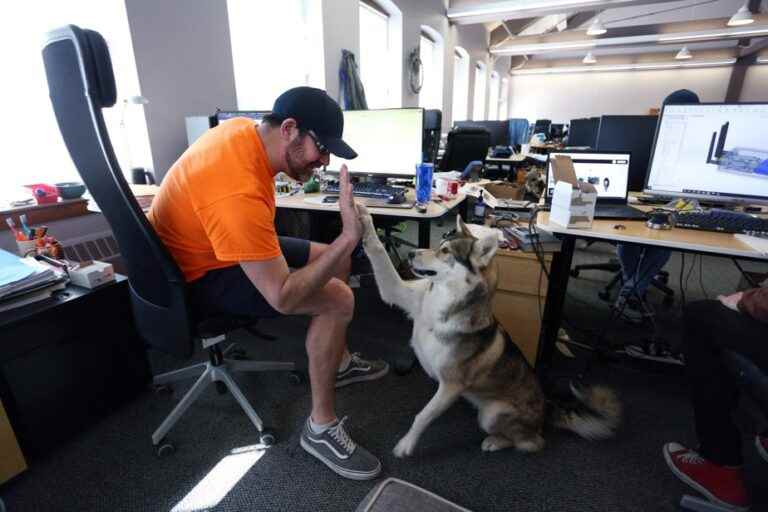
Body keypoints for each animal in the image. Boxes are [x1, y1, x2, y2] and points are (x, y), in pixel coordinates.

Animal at [362, 206, 624, 458]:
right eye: (439, 244)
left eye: (445, 251)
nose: (410, 254)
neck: (443, 302)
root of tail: (547, 408)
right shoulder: (397, 292)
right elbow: (379, 253)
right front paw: (363, 217)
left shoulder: (450, 387)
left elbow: (423, 416)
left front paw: (406, 445)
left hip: (493, 414)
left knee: (532, 443)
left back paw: (495, 442)